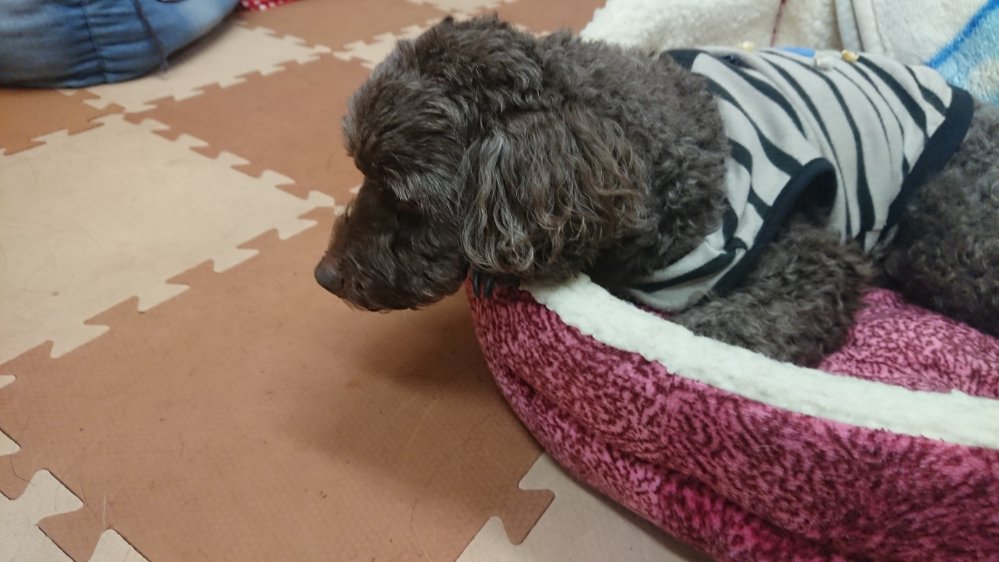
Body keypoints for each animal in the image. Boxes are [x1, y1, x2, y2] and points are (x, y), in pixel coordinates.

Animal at [314, 16, 999, 366]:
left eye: (407, 198)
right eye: (362, 171)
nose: (324, 275)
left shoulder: (811, 260)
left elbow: (726, 331)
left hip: (948, 242)